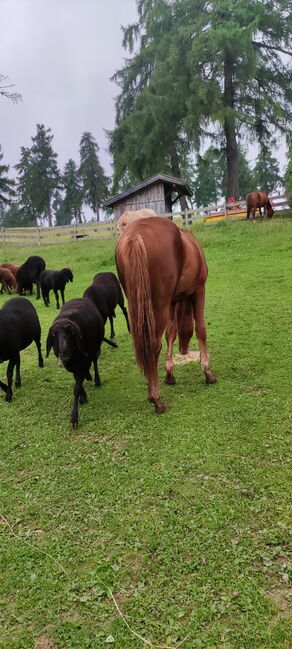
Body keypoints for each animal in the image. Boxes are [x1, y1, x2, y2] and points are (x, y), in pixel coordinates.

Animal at [46, 298, 116, 426]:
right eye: (53, 334)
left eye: (72, 333)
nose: (64, 355)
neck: (74, 358)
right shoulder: (73, 366)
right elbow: (77, 381)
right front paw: (83, 397)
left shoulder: (84, 361)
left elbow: (76, 387)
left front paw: (74, 418)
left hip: (94, 348)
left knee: (95, 362)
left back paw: (97, 380)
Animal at [115, 216, 216, 410]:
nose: (184, 350)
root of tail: (135, 234)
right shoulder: (199, 291)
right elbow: (201, 330)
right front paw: (207, 372)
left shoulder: (173, 301)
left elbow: (171, 333)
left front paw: (169, 373)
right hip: (159, 306)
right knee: (153, 345)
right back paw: (156, 399)